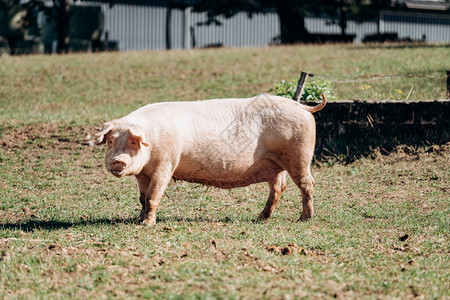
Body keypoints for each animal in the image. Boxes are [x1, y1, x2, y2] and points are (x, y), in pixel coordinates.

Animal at [96, 94, 326, 225]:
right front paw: (137, 220)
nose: (118, 161)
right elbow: (142, 198)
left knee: (307, 184)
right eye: (111, 141)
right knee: (278, 188)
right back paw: (260, 219)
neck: (152, 139)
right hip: (275, 164)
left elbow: (153, 196)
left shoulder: (166, 164)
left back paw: (304, 219)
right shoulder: (142, 173)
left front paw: (147, 225)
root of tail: (303, 107)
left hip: (299, 156)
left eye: (133, 141)